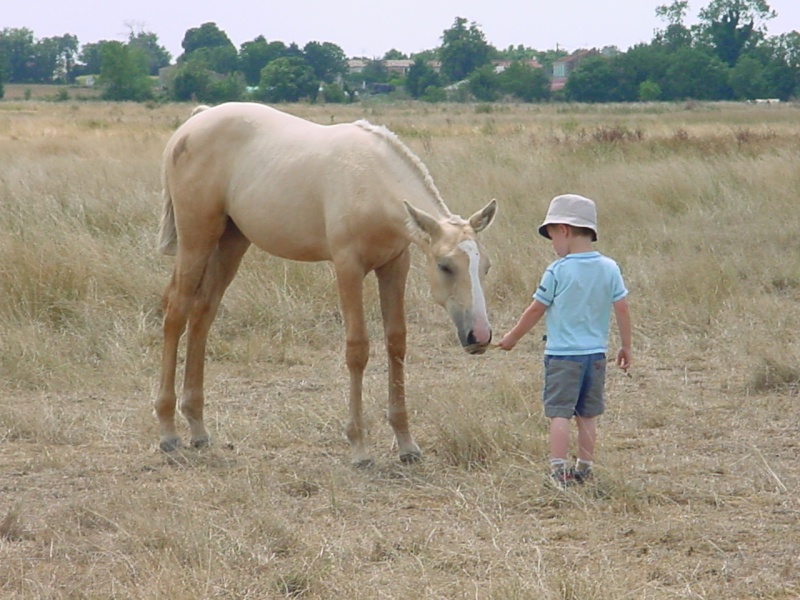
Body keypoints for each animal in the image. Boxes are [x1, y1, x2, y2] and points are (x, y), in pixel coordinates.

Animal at [154, 103, 496, 466]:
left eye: (485, 267)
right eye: (445, 266)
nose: (479, 336)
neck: (370, 180)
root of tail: (196, 120)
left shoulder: (394, 265)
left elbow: (397, 343)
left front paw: (406, 443)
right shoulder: (348, 268)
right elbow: (357, 349)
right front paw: (359, 447)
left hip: (231, 242)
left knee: (202, 314)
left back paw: (197, 428)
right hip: (196, 240)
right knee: (176, 312)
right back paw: (168, 431)